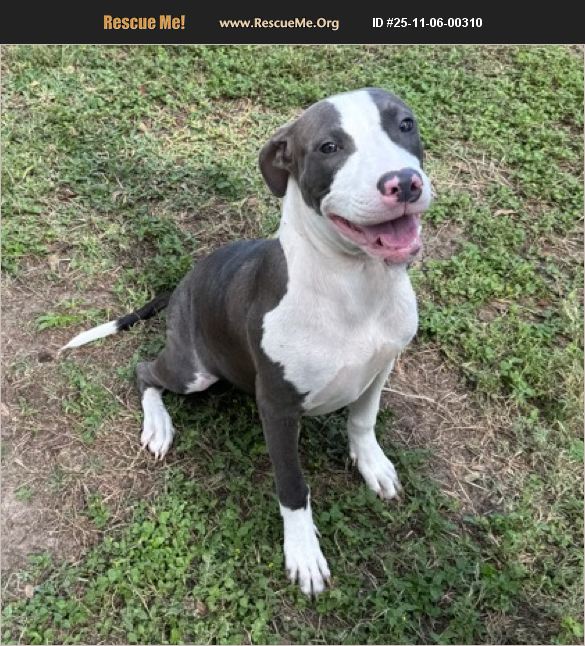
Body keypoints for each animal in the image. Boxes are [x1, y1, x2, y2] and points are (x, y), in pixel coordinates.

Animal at [62, 88, 433, 596]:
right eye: (328, 147)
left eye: (405, 124)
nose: (404, 183)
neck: (356, 284)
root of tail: (181, 284)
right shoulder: (276, 406)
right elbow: (293, 487)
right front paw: (303, 553)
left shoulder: (382, 364)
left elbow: (363, 419)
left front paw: (372, 464)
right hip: (193, 370)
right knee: (143, 371)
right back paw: (158, 426)